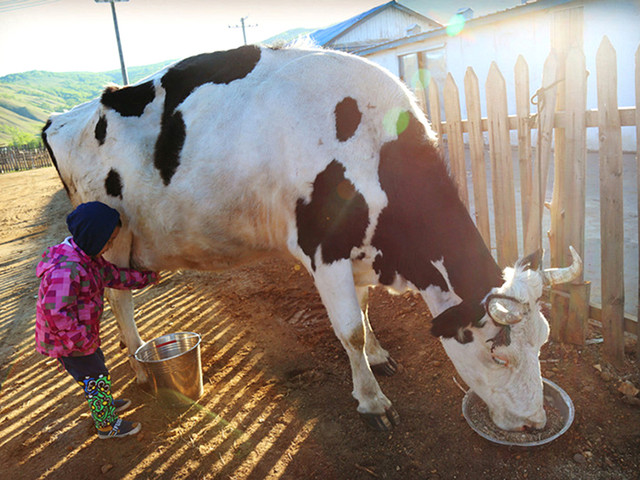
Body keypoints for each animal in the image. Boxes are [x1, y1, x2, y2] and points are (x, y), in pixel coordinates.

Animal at [40, 44, 580, 432]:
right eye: (497, 352)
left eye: (543, 341)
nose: (535, 422)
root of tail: (67, 115)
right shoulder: (325, 252)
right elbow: (350, 329)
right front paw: (372, 402)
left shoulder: (361, 254)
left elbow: (365, 310)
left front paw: (379, 356)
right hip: (108, 240)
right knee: (117, 301)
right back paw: (136, 365)